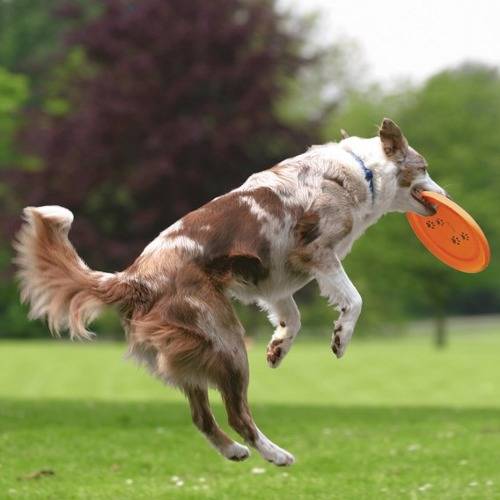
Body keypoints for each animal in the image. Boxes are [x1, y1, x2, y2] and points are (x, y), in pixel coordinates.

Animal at [14, 117, 446, 464]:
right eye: (424, 168)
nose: (443, 198)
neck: (361, 172)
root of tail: (134, 279)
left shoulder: (275, 279)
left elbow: (292, 317)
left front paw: (278, 347)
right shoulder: (316, 251)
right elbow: (354, 299)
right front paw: (340, 338)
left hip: (194, 351)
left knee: (201, 417)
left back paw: (236, 452)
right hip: (226, 340)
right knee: (237, 413)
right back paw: (276, 454)